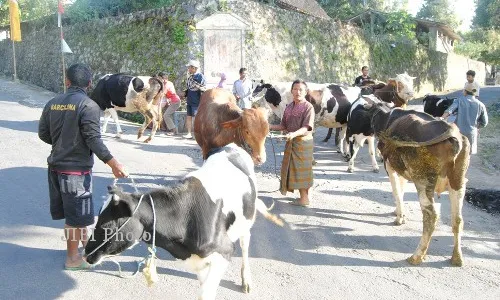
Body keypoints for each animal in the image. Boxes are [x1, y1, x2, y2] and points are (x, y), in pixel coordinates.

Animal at [84, 144, 284, 300]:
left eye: (108, 225)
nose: (86, 253)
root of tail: (233, 146)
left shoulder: (224, 252)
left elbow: (206, 293)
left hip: (246, 220)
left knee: (245, 243)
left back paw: (246, 280)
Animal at [368, 102, 468, 266]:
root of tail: (452, 132)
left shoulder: (390, 166)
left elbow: (396, 191)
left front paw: (399, 218)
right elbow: (401, 190)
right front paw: (398, 212)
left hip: (423, 181)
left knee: (431, 216)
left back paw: (416, 256)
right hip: (458, 182)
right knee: (457, 219)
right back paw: (457, 258)